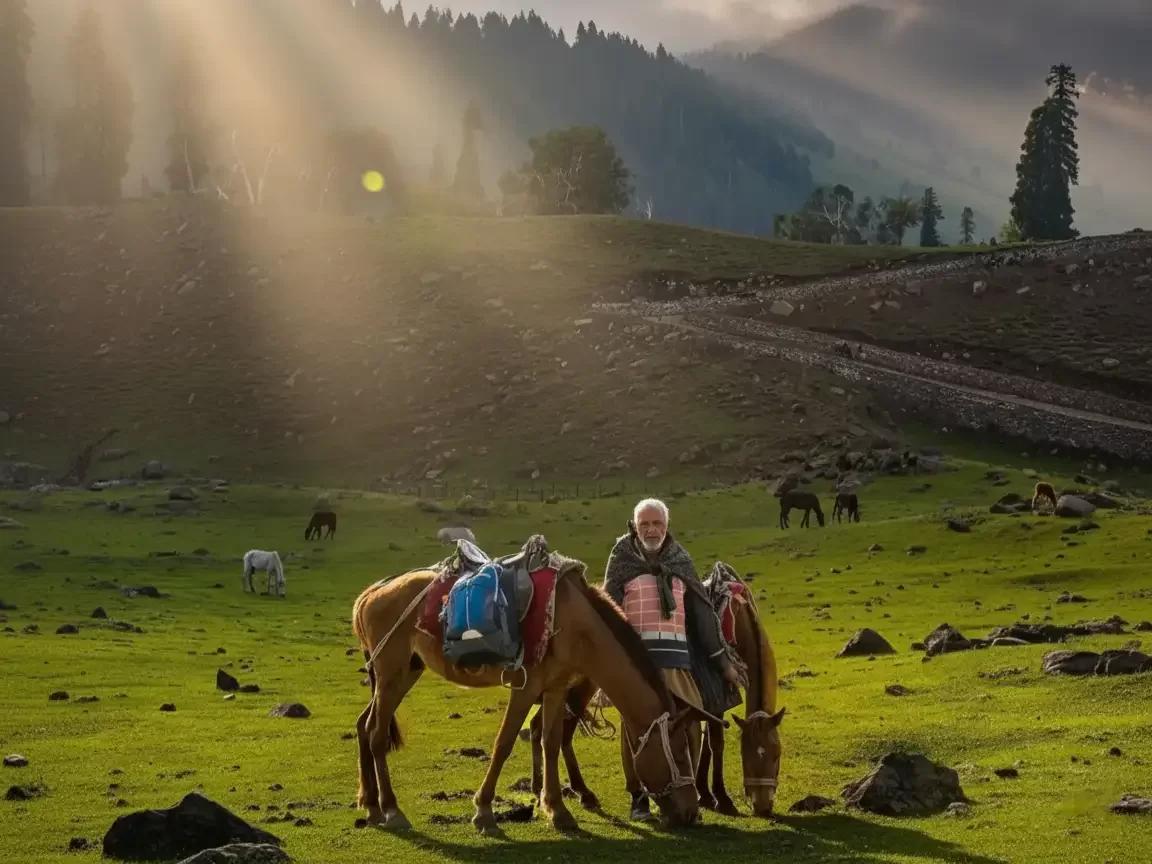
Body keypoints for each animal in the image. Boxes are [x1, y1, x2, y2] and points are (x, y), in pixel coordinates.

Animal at [351, 539, 704, 834]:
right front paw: (484, 812)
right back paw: (391, 810)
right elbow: (504, 743)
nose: (691, 813)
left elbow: (550, 741)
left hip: (403, 674)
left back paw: (371, 806)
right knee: (377, 733)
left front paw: (558, 811)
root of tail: (371, 593)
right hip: (391, 675)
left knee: (365, 726)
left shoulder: (556, 688)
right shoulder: (526, 687)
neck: (574, 620)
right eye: (680, 756)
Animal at [526, 563, 786, 818]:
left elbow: (705, 744)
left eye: (776, 754)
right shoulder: (715, 699)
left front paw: (705, 794)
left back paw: (541, 788)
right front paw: (721, 798)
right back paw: (583, 793)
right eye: (745, 755)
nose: (763, 807)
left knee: (540, 726)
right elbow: (715, 744)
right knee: (561, 733)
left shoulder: (705, 704)